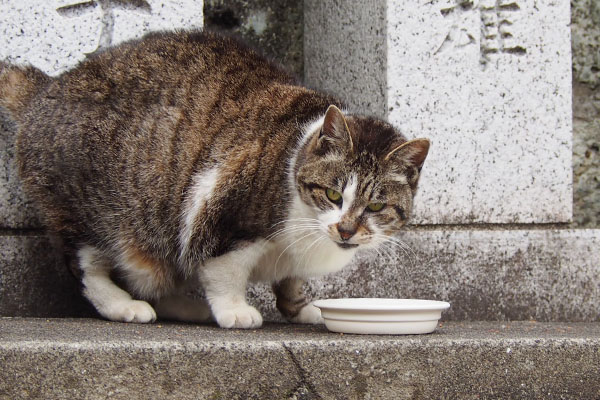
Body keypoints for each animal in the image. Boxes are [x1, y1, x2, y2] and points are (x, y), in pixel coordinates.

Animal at [0, 29, 432, 326]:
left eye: (375, 204)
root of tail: (48, 88)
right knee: (86, 266)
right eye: (332, 194)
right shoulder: (220, 212)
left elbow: (290, 280)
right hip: (90, 211)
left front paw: (301, 308)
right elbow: (224, 270)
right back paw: (123, 305)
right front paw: (234, 310)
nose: (345, 229)